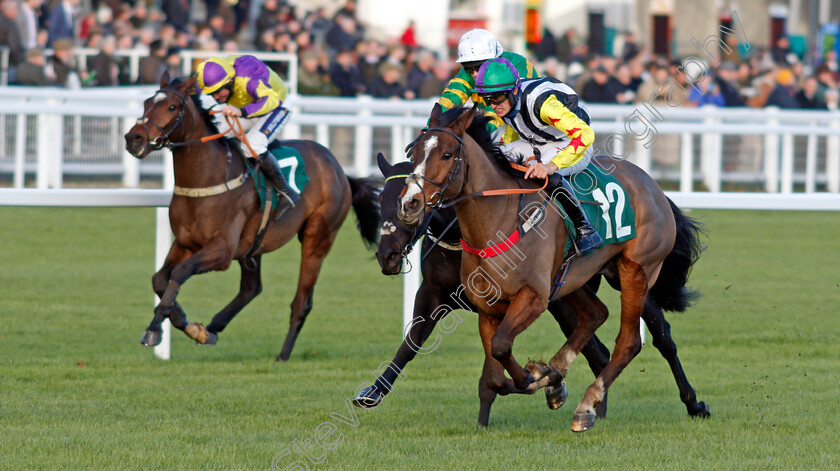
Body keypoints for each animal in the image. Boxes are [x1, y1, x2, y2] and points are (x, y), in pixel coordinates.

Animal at [398, 106, 708, 432]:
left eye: (446, 154)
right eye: (413, 153)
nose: (410, 203)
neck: (499, 220)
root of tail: (654, 187)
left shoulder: (534, 296)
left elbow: (501, 347)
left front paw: (537, 376)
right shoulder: (488, 307)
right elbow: (496, 376)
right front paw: (546, 377)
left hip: (635, 271)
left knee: (630, 342)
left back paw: (588, 406)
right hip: (574, 279)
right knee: (595, 314)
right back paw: (560, 372)